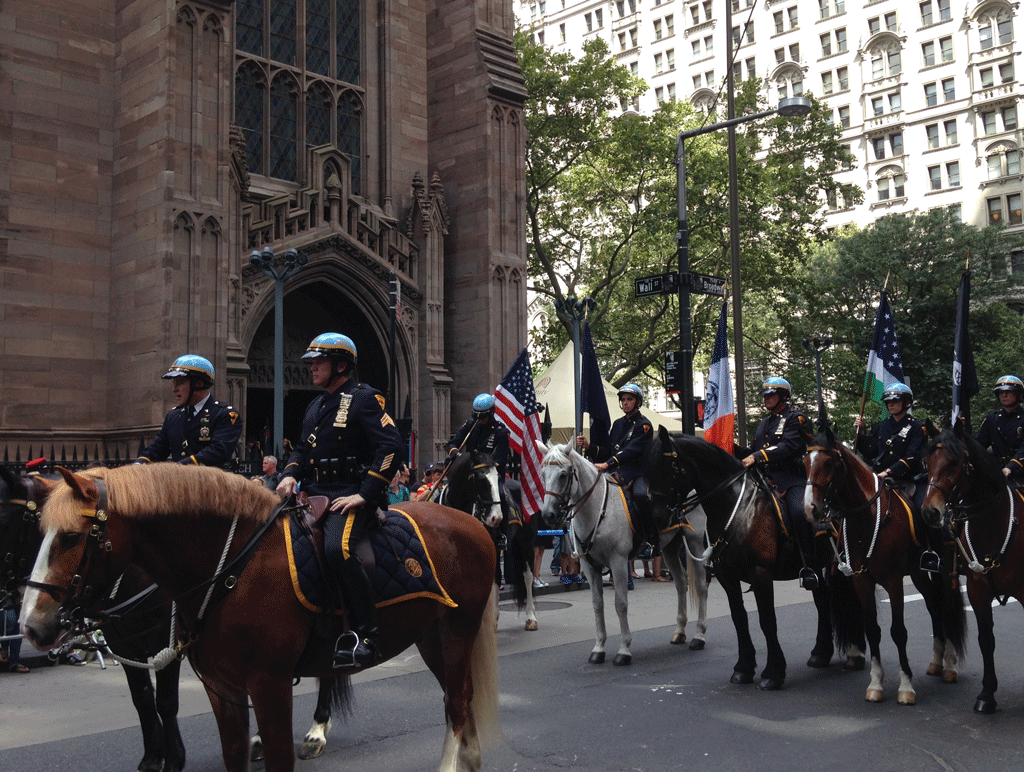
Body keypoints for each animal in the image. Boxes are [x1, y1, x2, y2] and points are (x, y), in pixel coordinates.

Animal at [19, 462, 499, 769]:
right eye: (38, 531)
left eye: (72, 537)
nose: (31, 626)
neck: (231, 566)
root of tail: (472, 523)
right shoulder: (221, 687)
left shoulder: (268, 685)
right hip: (430, 635)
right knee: (458, 700)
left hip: (458, 630)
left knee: (457, 705)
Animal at [536, 442, 712, 663]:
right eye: (543, 474)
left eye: (563, 475)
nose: (548, 515)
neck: (596, 509)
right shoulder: (589, 566)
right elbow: (597, 604)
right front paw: (598, 648)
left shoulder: (618, 562)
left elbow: (620, 603)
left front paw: (624, 650)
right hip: (670, 547)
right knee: (681, 583)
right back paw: (679, 632)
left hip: (694, 540)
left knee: (701, 585)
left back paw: (699, 636)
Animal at [638, 430, 864, 688]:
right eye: (648, 469)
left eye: (669, 467)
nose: (657, 518)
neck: (735, 507)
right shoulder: (727, 577)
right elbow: (739, 619)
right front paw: (743, 668)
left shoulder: (760, 574)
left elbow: (767, 620)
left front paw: (773, 672)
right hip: (817, 567)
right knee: (823, 601)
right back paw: (820, 653)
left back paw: (855, 655)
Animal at [802, 427, 962, 704]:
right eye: (804, 462)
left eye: (829, 462)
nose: (810, 509)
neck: (867, 518)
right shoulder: (862, 581)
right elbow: (872, 630)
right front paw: (876, 683)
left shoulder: (894, 581)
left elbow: (898, 631)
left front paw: (906, 686)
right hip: (918, 573)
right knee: (933, 605)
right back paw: (936, 661)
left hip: (941, 571)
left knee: (946, 607)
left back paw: (949, 665)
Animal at [921, 423, 1024, 712]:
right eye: (926, 462)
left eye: (954, 462)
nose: (930, 512)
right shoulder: (978, 591)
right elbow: (986, 640)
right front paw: (987, 694)